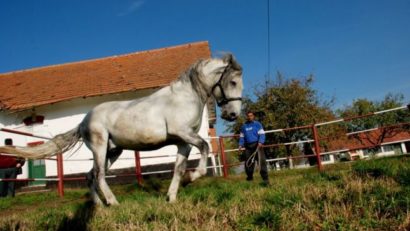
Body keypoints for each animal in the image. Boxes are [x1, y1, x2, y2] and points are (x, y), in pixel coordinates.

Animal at [0, 53, 243, 205]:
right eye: (232, 82)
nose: (232, 114)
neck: (185, 97)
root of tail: (84, 121)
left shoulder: (183, 142)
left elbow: (178, 169)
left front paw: (173, 196)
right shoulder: (184, 134)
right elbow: (204, 148)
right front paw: (193, 178)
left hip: (113, 151)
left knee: (91, 176)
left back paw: (99, 206)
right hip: (100, 148)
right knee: (98, 175)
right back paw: (113, 202)